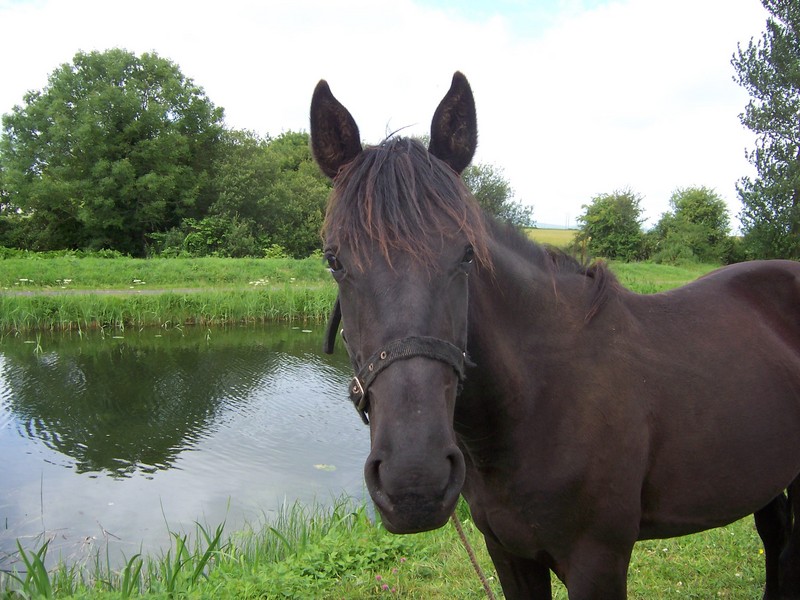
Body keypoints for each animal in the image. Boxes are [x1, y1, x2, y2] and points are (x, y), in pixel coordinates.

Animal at [310, 72, 800, 596]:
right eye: (333, 260)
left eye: (467, 254)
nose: (414, 482)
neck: (541, 398)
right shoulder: (509, 553)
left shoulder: (598, 562)